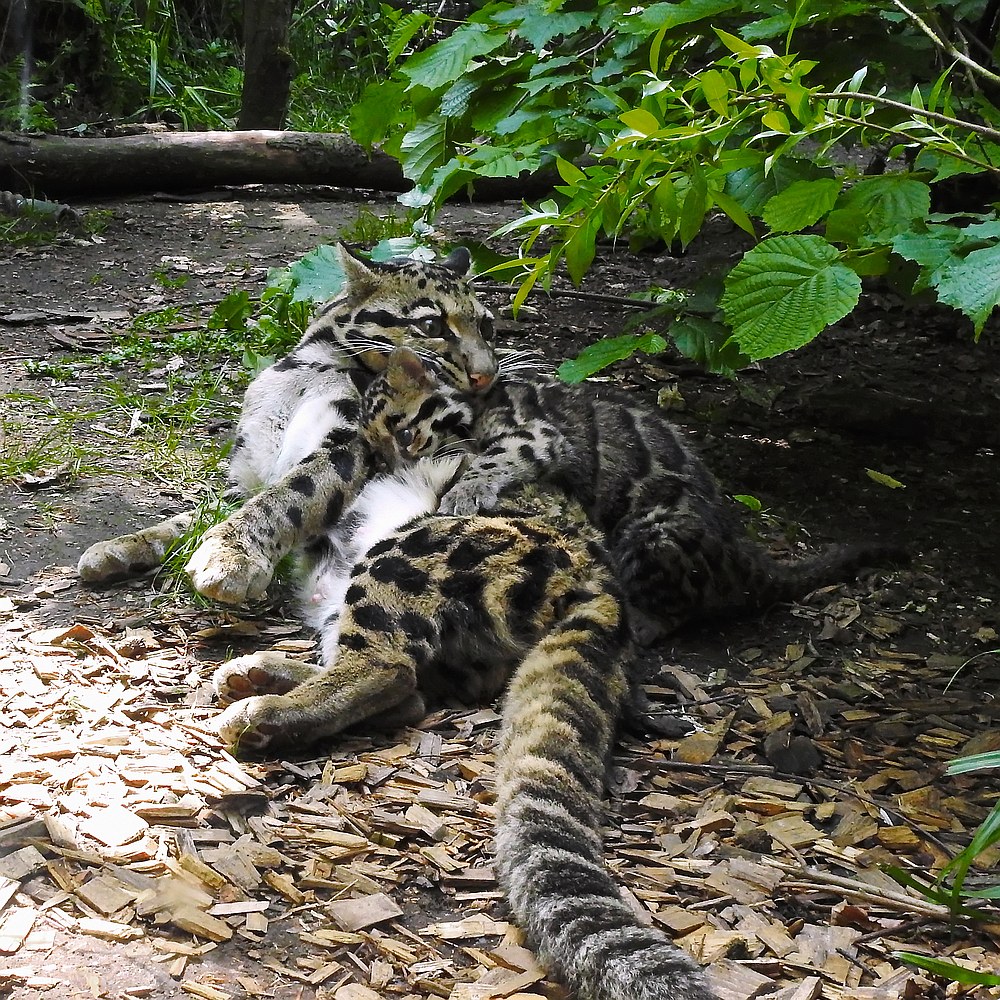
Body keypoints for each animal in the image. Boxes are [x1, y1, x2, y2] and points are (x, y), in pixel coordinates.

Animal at [213, 350, 720, 1000]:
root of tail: (603, 580)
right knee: (403, 689)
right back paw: (256, 676)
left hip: (405, 555)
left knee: (385, 668)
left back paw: (262, 713)